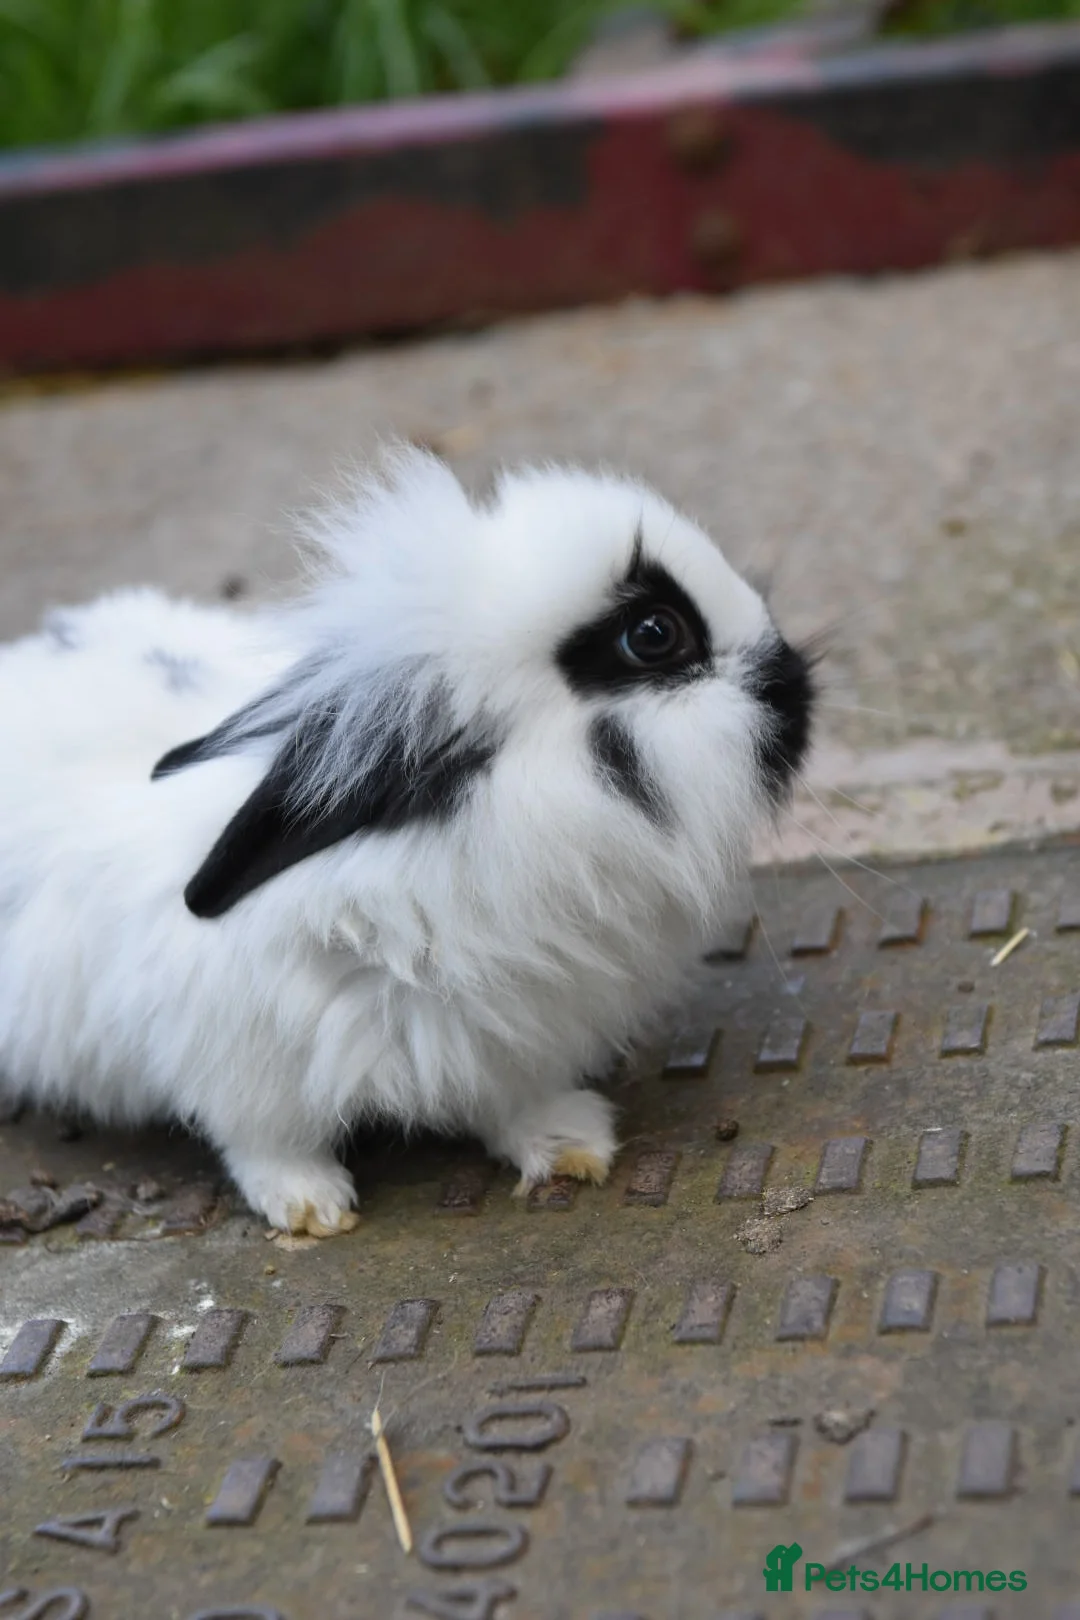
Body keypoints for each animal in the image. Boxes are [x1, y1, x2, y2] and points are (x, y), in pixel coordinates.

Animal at [0, 447, 814, 1237]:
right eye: (653, 635)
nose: (798, 685)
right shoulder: (240, 1053)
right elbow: (267, 1141)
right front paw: (311, 1206)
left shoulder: (511, 1030)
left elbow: (515, 1097)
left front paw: (572, 1144)